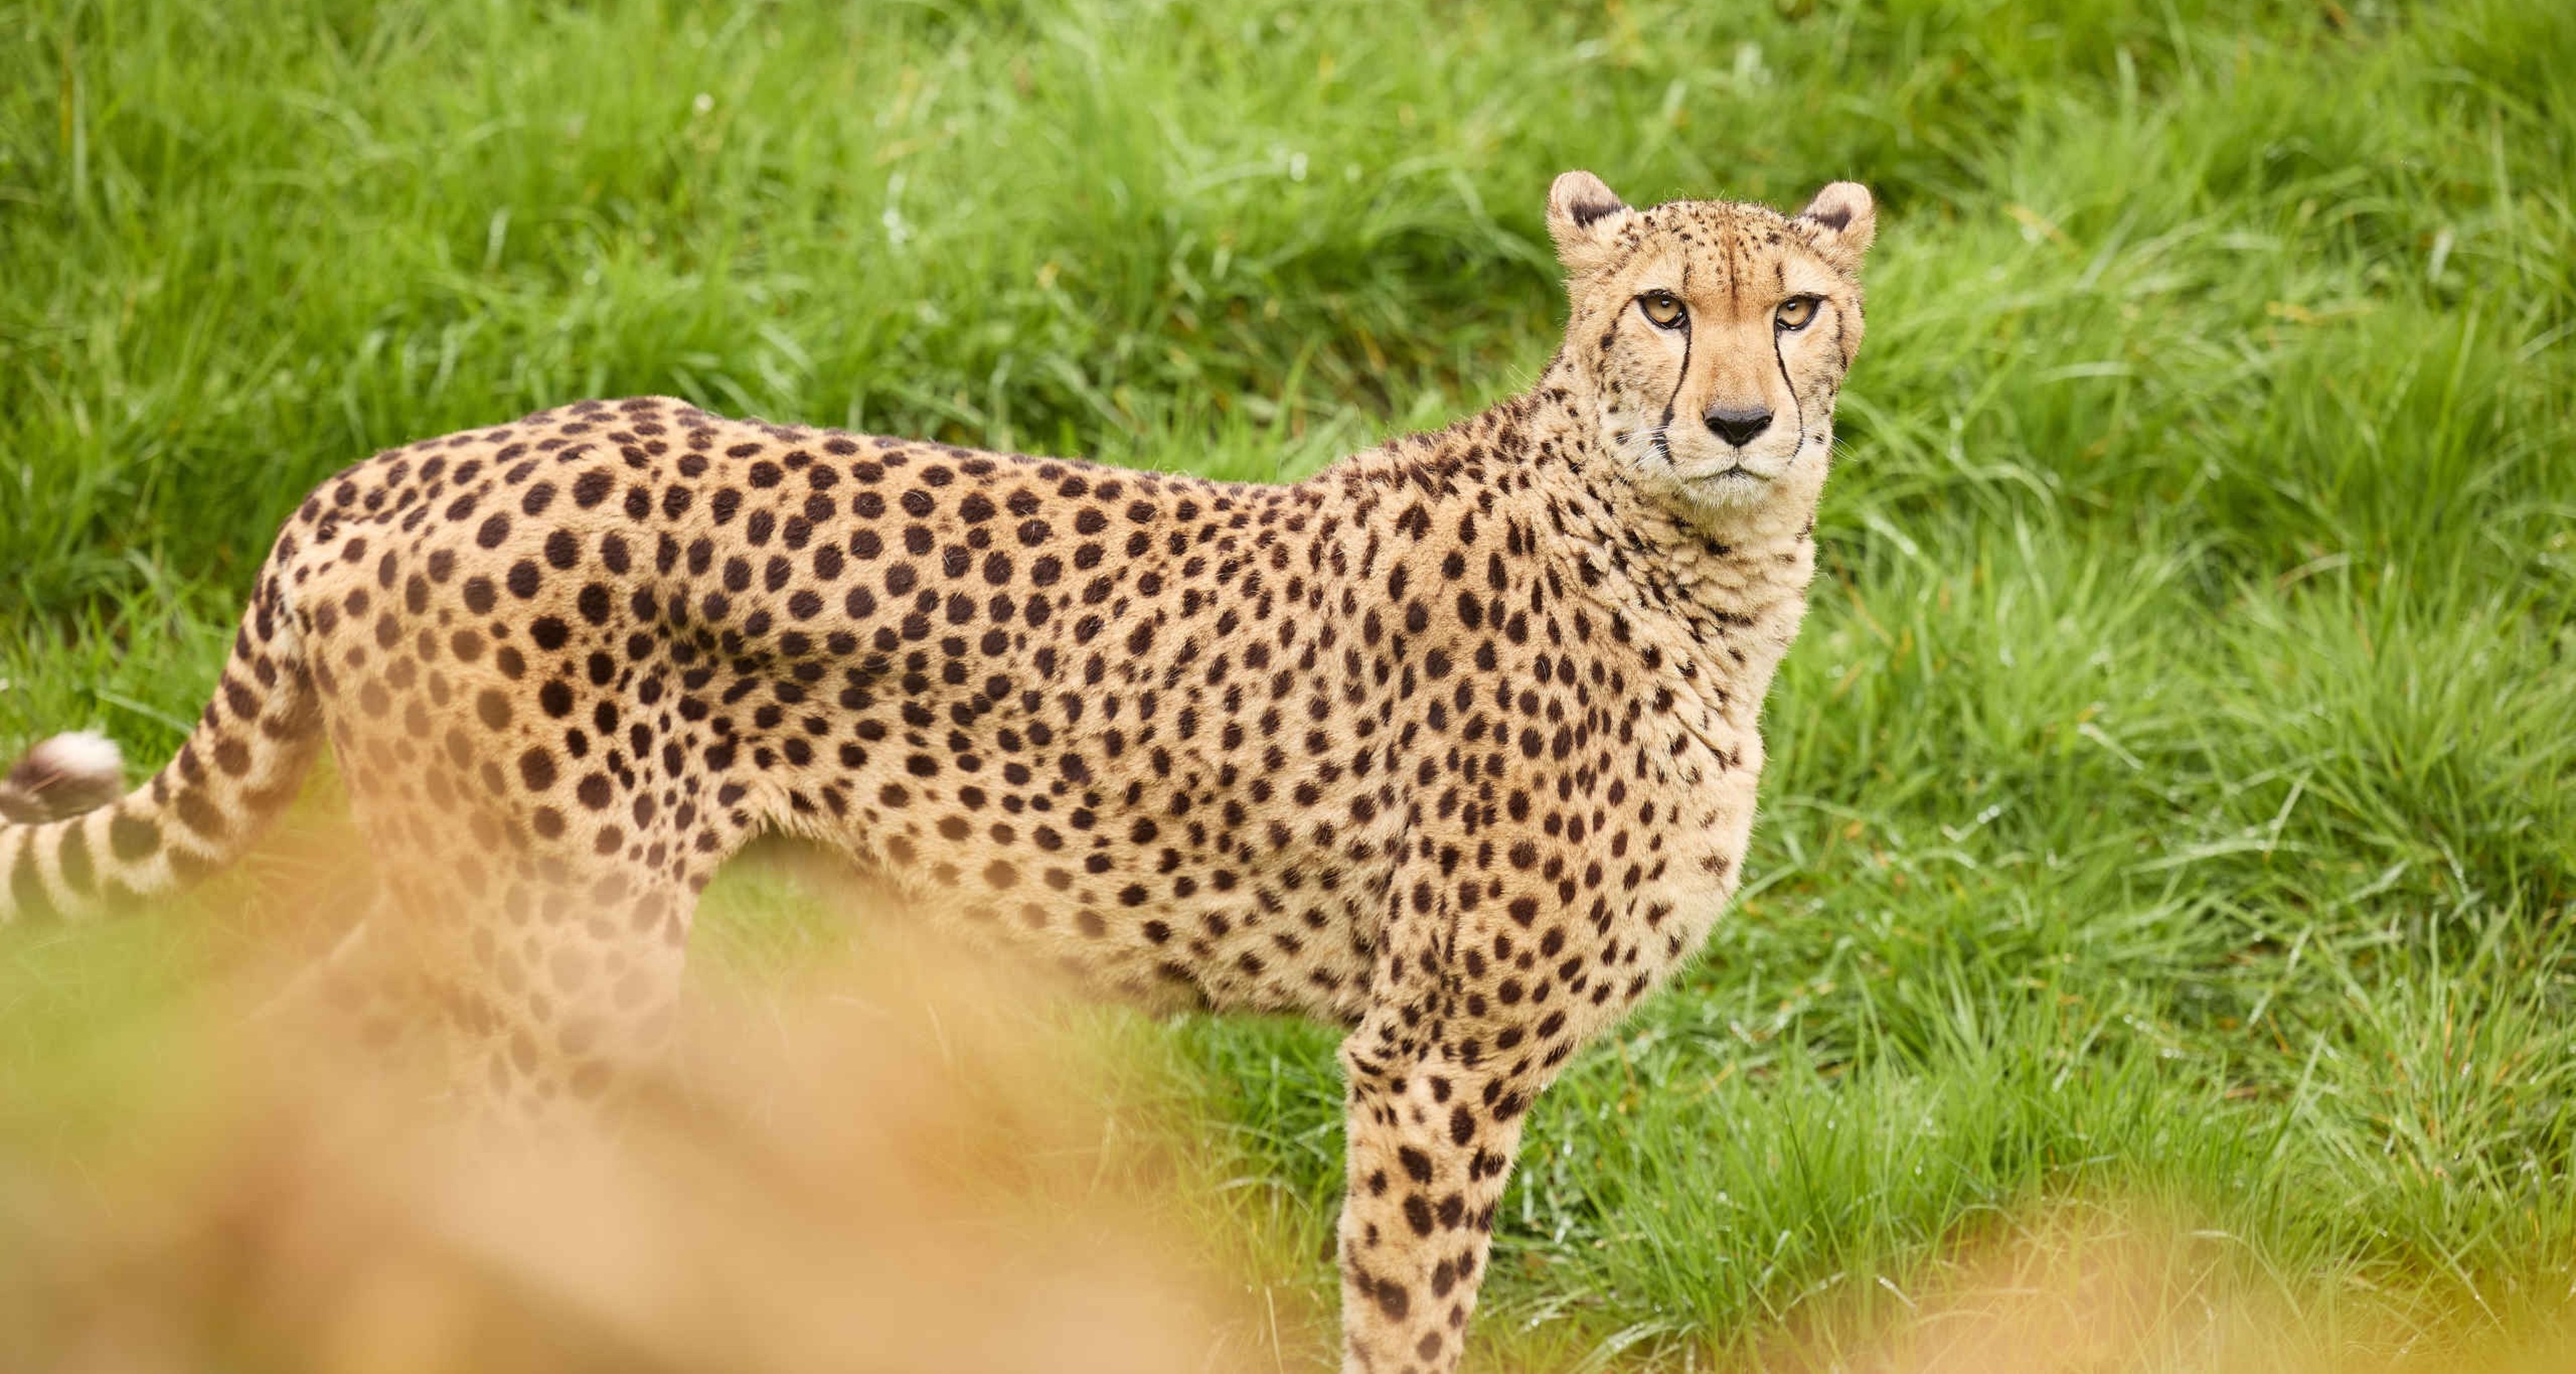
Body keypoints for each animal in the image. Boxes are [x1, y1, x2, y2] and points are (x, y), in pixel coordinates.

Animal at [0, 171, 1876, 1373]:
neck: (1686, 556)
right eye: (1660, 309)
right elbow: (1406, 1312)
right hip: (569, 950)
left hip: (477, 911)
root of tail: (396, 466)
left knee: (290, 1068)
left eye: (1793, 310)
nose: (1735, 424)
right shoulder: (1435, 1052)